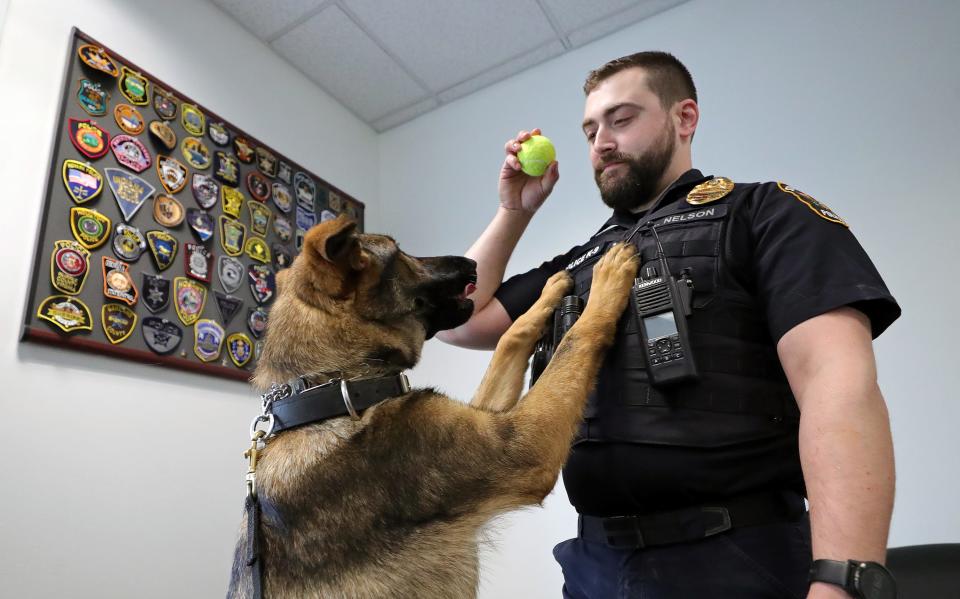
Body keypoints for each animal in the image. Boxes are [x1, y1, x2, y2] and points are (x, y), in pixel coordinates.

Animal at [227, 217, 636, 599]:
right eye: (400, 254)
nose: (474, 263)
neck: (332, 389)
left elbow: (510, 337)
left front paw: (549, 291)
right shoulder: (526, 442)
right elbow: (577, 338)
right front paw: (608, 280)